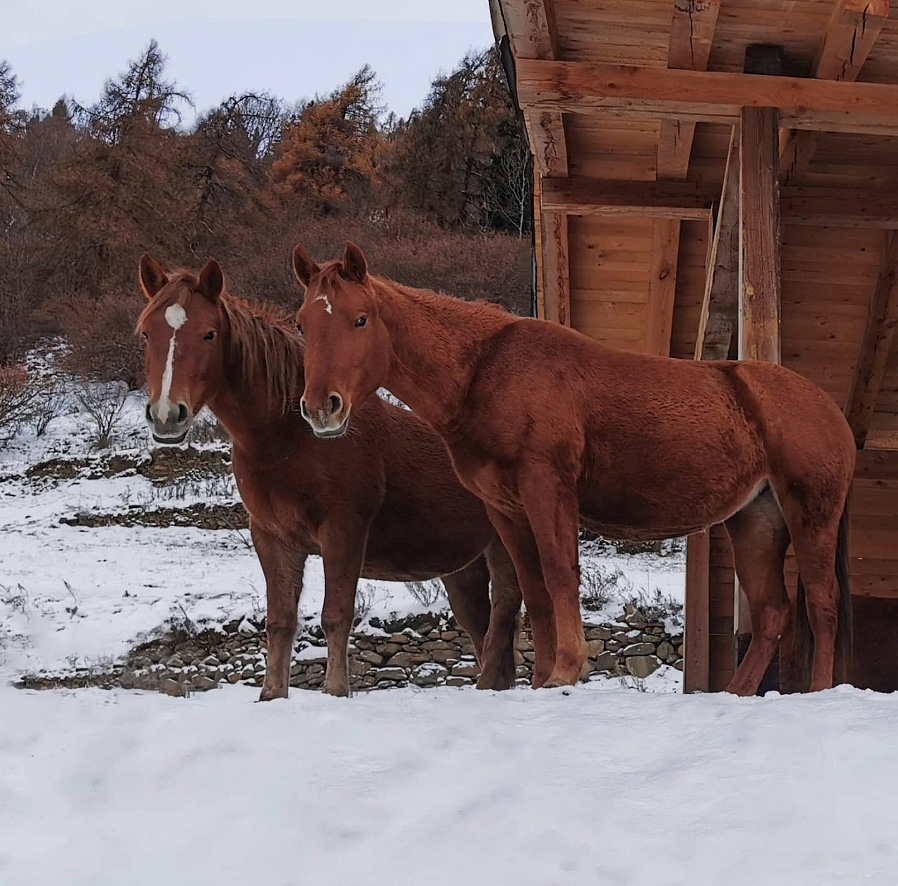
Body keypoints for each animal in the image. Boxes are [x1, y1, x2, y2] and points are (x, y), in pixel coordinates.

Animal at [135, 253, 522, 700]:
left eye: (209, 334)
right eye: (146, 333)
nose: (167, 414)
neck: (286, 437)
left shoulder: (342, 530)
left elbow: (335, 615)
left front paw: (336, 691)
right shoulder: (273, 536)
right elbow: (280, 622)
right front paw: (272, 695)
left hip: (505, 545)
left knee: (505, 611)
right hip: (463, 567)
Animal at [291, 240, 856, 696]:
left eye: (360, 318)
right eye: (302, 323)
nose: (322, 408)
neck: (485, 372)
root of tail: (828, 409)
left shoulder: (547, 487)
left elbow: (561, 573)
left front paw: (567, 669)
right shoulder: (505, 509)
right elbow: (535, 592)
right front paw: (543, 676)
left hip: (810, 511)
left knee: (822, 603)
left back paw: (820, 691)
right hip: (755, 519)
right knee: (772, 614)